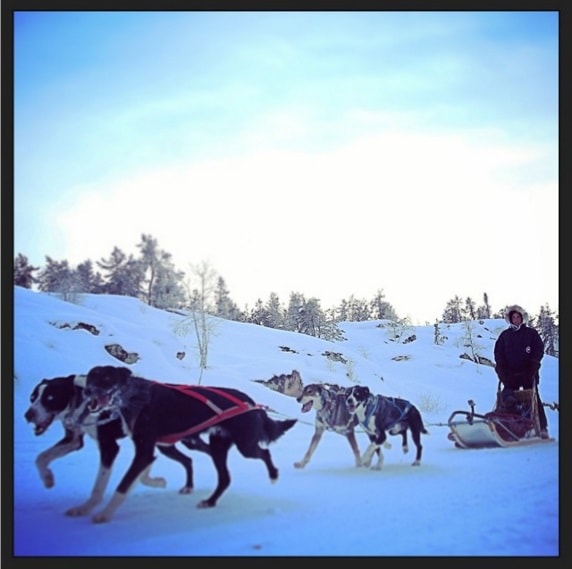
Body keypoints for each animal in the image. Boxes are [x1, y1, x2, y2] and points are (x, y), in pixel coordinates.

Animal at [84, 366, 300, 520]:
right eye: (90, 378)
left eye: (107, 379)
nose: (87, 391)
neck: (136, 396)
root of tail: (252, 403)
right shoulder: (148, 448)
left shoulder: (144, 450)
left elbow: (123, 484)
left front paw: (104, 514)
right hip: (211, 446)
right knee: (223, 477)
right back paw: (209, 501)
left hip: (244, 445)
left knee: (264, 453)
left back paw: (273, 475)